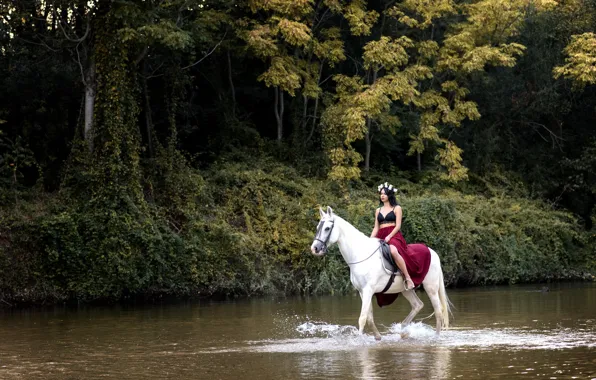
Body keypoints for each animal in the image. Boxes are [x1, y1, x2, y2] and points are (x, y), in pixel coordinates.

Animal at [310, 206, 450, 340]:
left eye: (327, 228)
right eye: (317, 227)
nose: (315, 248)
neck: (360, 254)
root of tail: (433, 252)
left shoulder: (368, 290)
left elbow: (362, 318)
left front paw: (358, 340)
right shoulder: (362, 292)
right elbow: (369, 317)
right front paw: (377, 337)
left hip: (431, 288)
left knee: (438, 312)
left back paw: (436, 337)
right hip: (405, 290)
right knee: (418, 305)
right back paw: (404, 331)